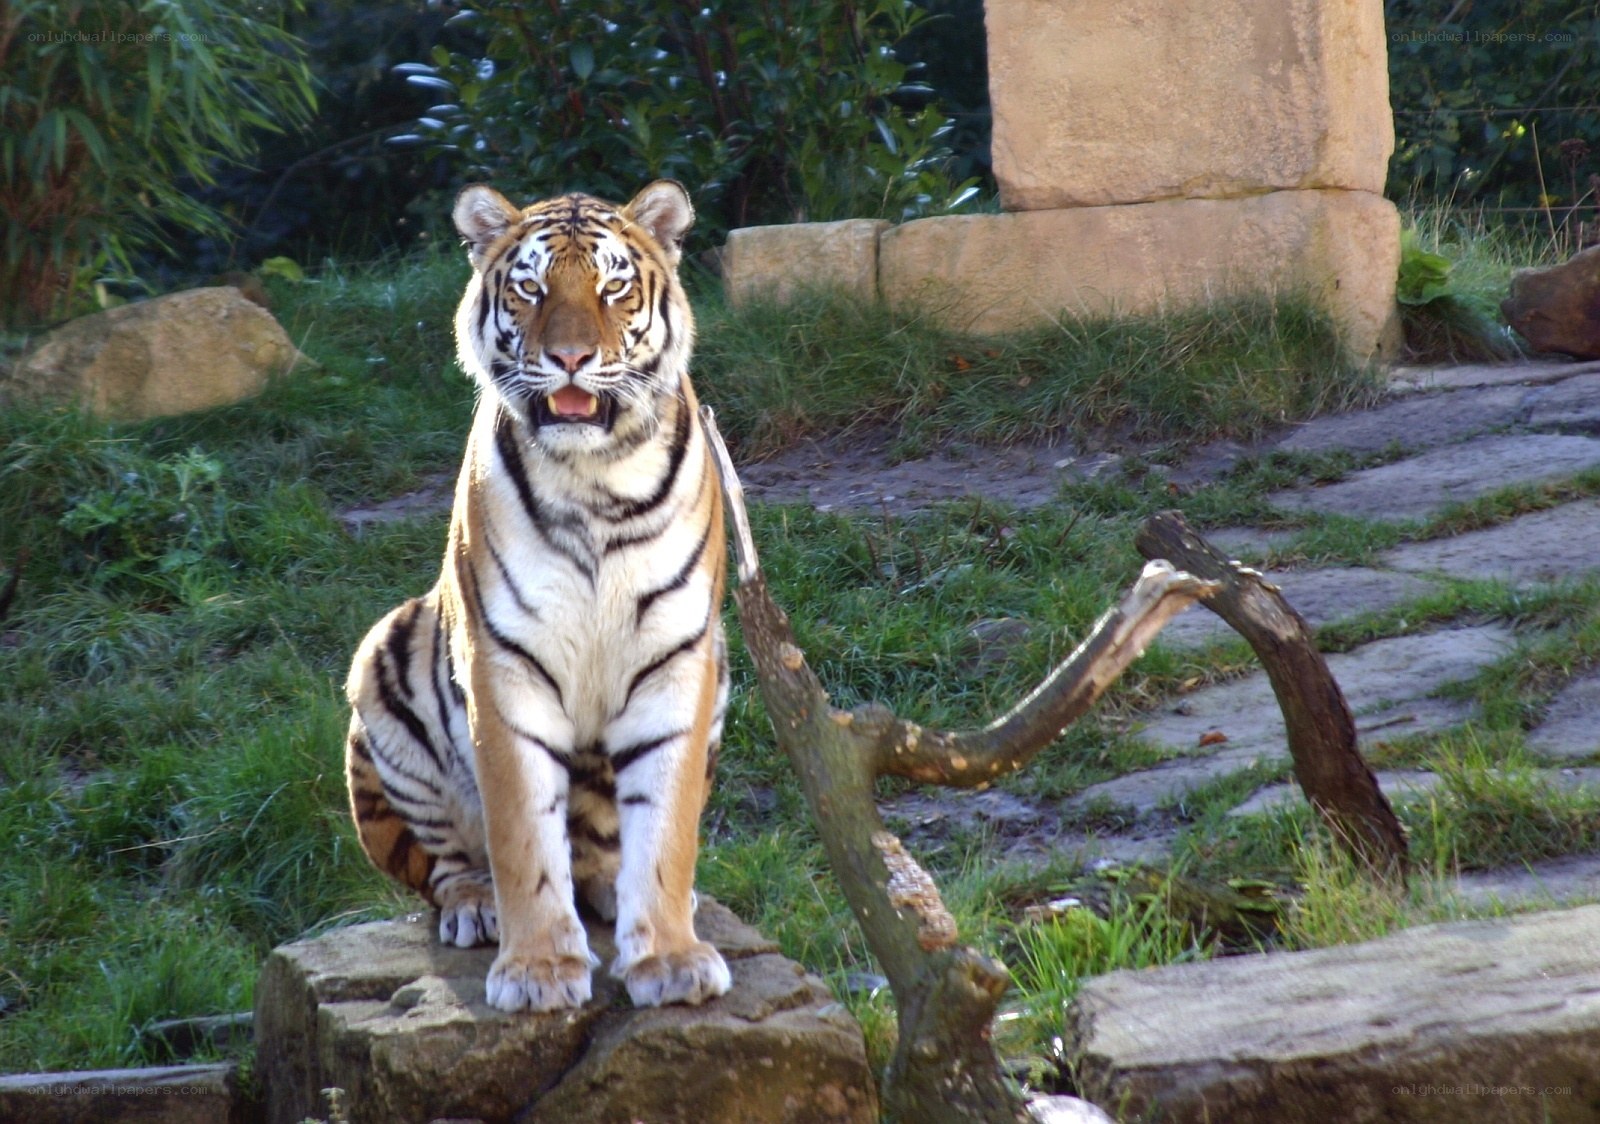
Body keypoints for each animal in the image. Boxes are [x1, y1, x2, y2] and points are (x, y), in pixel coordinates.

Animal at [343, 179, 731, 1013]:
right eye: (531, 287)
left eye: (613, 287)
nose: (571, 359)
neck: (597, 481)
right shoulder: (505, 664)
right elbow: (522, 834)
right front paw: (539, 971)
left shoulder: (678, 659)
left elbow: (666, 827)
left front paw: (671, 958)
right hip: (387, 658)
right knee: (445, 863)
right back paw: (476, 907)